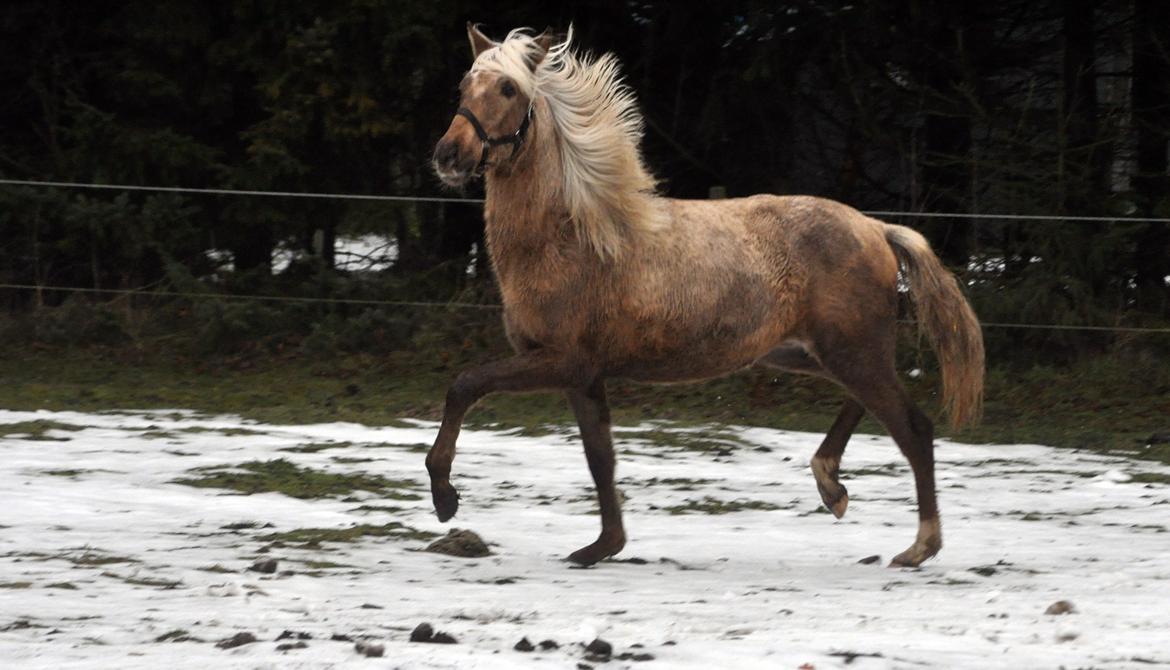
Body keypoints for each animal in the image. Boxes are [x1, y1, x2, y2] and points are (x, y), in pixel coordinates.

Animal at [425, 23, 982, 565]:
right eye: (464, 85)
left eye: (508, 88)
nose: (448, 155)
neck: (573, 236)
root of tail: (876, 228)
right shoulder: (584, 376)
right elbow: (600, 458)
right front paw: (602, 547)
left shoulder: (562, 361)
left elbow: (465, 385)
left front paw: (445, 498)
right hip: (807, 353)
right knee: (868, 403)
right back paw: (832, 486)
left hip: (851, 351)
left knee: (914, 428)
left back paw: (918, 547)